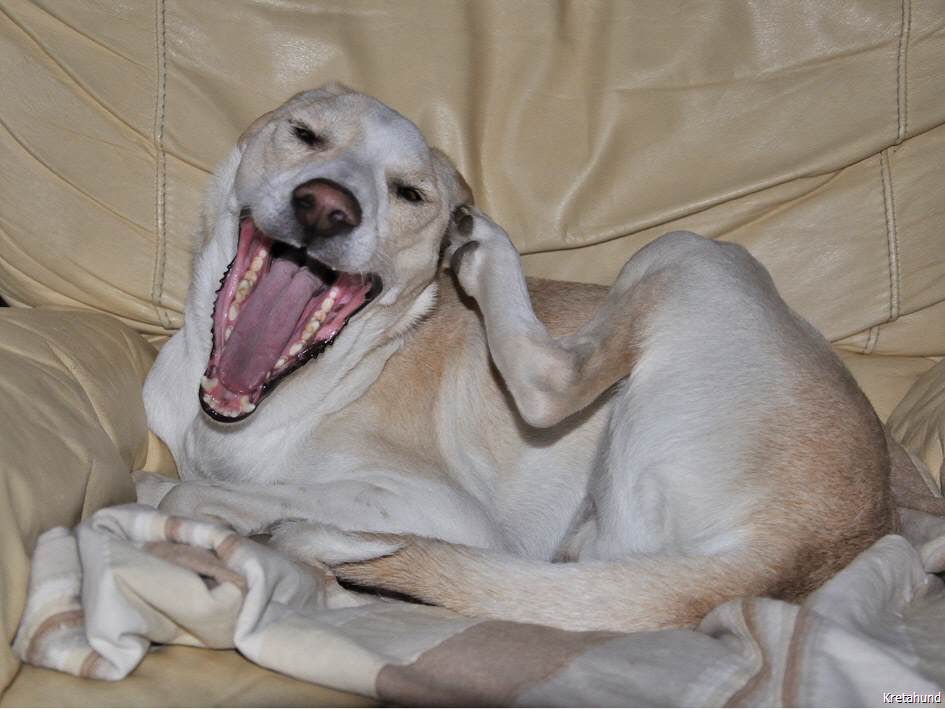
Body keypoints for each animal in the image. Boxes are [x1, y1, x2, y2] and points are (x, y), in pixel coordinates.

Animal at [138, 83, 897, 633]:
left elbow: (197, 491)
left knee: (552, 385)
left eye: (409, 193)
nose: (326, 206)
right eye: (304, 134)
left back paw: (486, 250)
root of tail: (788, 558)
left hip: (689, 253)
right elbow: (166, 482)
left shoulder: (442, 508)